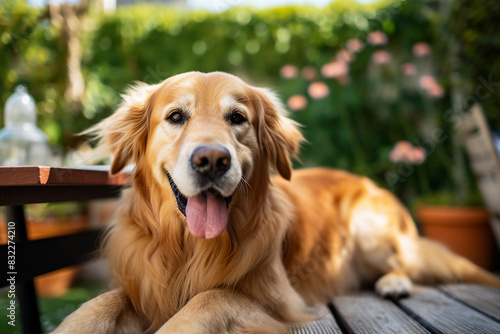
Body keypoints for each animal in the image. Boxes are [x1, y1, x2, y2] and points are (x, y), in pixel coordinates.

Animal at [51, 72, 500, 332]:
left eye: (237, 118)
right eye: (176, 116)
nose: (211, 160)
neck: (190, 246)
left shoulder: (279, 300)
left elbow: (210, 298)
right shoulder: (143, 284)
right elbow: (101, 303)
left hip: (369, 228)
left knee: (405, 263)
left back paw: (393, 282)